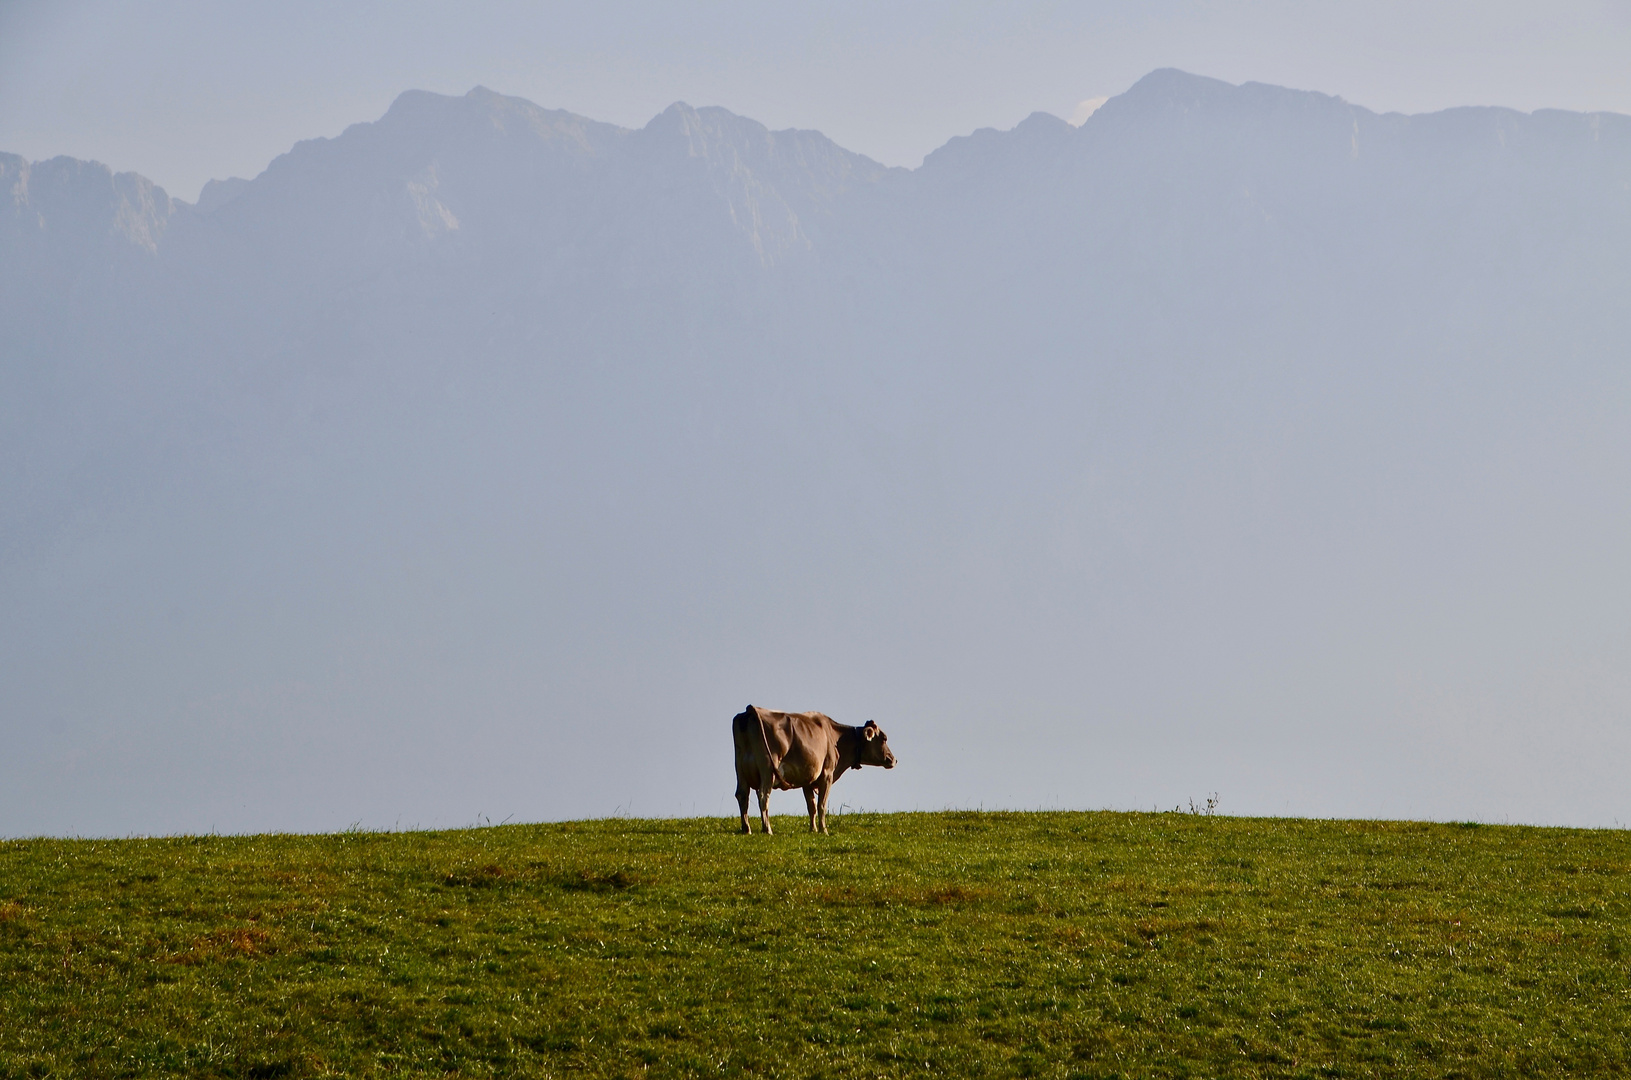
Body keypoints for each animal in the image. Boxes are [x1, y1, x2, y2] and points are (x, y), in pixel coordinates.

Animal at [733, 711, 900, 835]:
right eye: (884, 738)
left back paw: (746, 829)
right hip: (768, 767)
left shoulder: (807, 778)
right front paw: (823, 830)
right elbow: (821, 804)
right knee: (763, 795)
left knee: (742, 794)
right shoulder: (826, 774)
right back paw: (767, 829)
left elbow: (811, 806)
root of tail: (749, 712)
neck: (835, 737)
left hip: (740, 767)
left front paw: (812, 829)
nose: (894, 759)